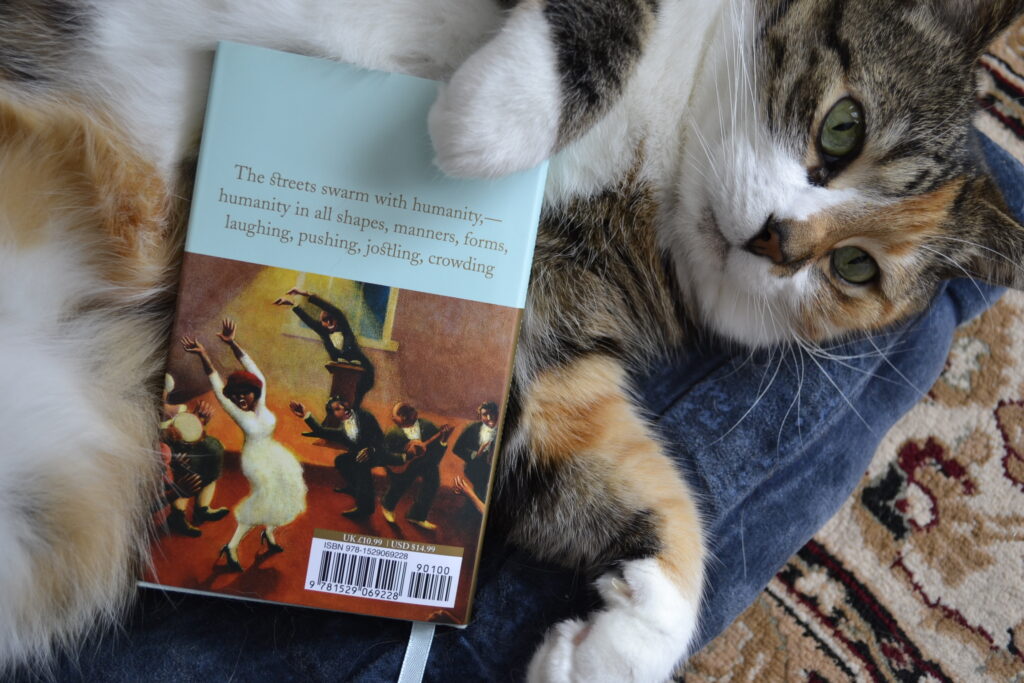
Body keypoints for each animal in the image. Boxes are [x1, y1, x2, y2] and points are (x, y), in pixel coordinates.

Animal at [2, 0, 1024, 679]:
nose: (779, 240)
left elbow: (612, 465)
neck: (664, 144)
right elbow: (614, 18)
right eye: (841, 128)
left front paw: (624, 638)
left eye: (854, 268)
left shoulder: (542, 317)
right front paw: (489, 120)